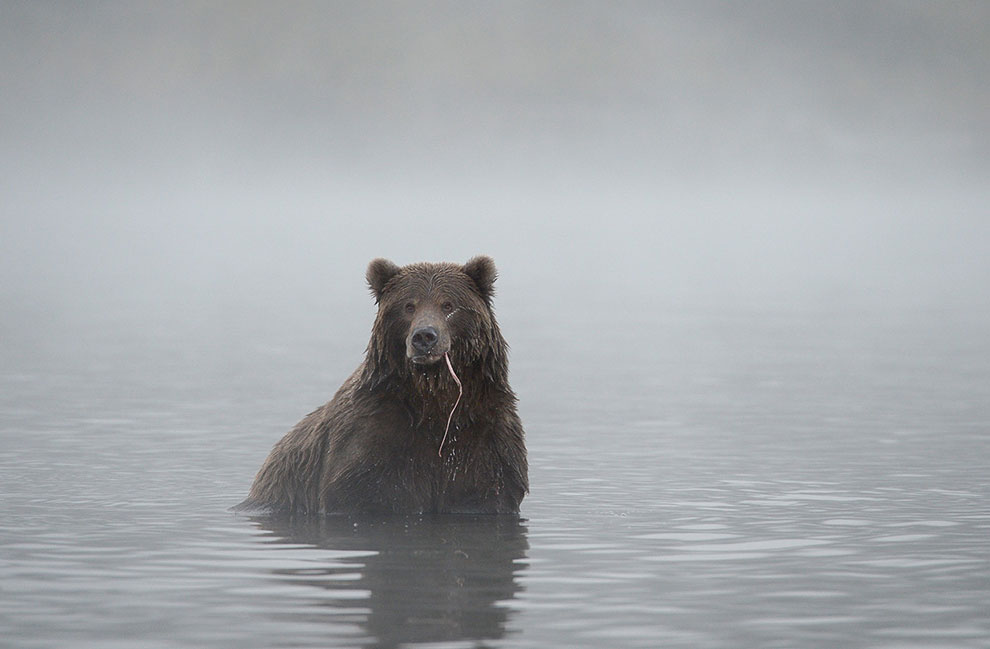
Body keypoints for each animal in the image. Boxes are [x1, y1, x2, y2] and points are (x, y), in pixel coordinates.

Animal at [234, 256, 528, 512]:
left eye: (448, 305)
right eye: (409, 305)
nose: (425, 336)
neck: (434, 399)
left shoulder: (484, 439)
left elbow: (485, 492)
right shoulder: (371, 438)